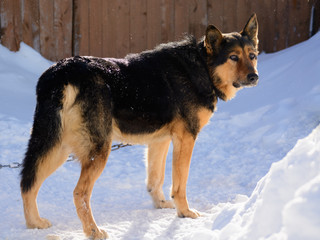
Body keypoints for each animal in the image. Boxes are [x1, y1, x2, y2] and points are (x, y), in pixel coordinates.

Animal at [20, 14, 258, 238]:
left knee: (28, 183)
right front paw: (185, 213)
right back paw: (93, 231)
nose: (254, 77)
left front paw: (161, 205)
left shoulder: (160, 141)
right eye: (233, 57)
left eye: (252, 56)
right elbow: (179, 184)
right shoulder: (186, 138)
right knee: (79, 193)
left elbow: (155, 180)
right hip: (97, 151)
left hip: (55, 148)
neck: (201, 66)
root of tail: (63, 72)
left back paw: (35, 224)